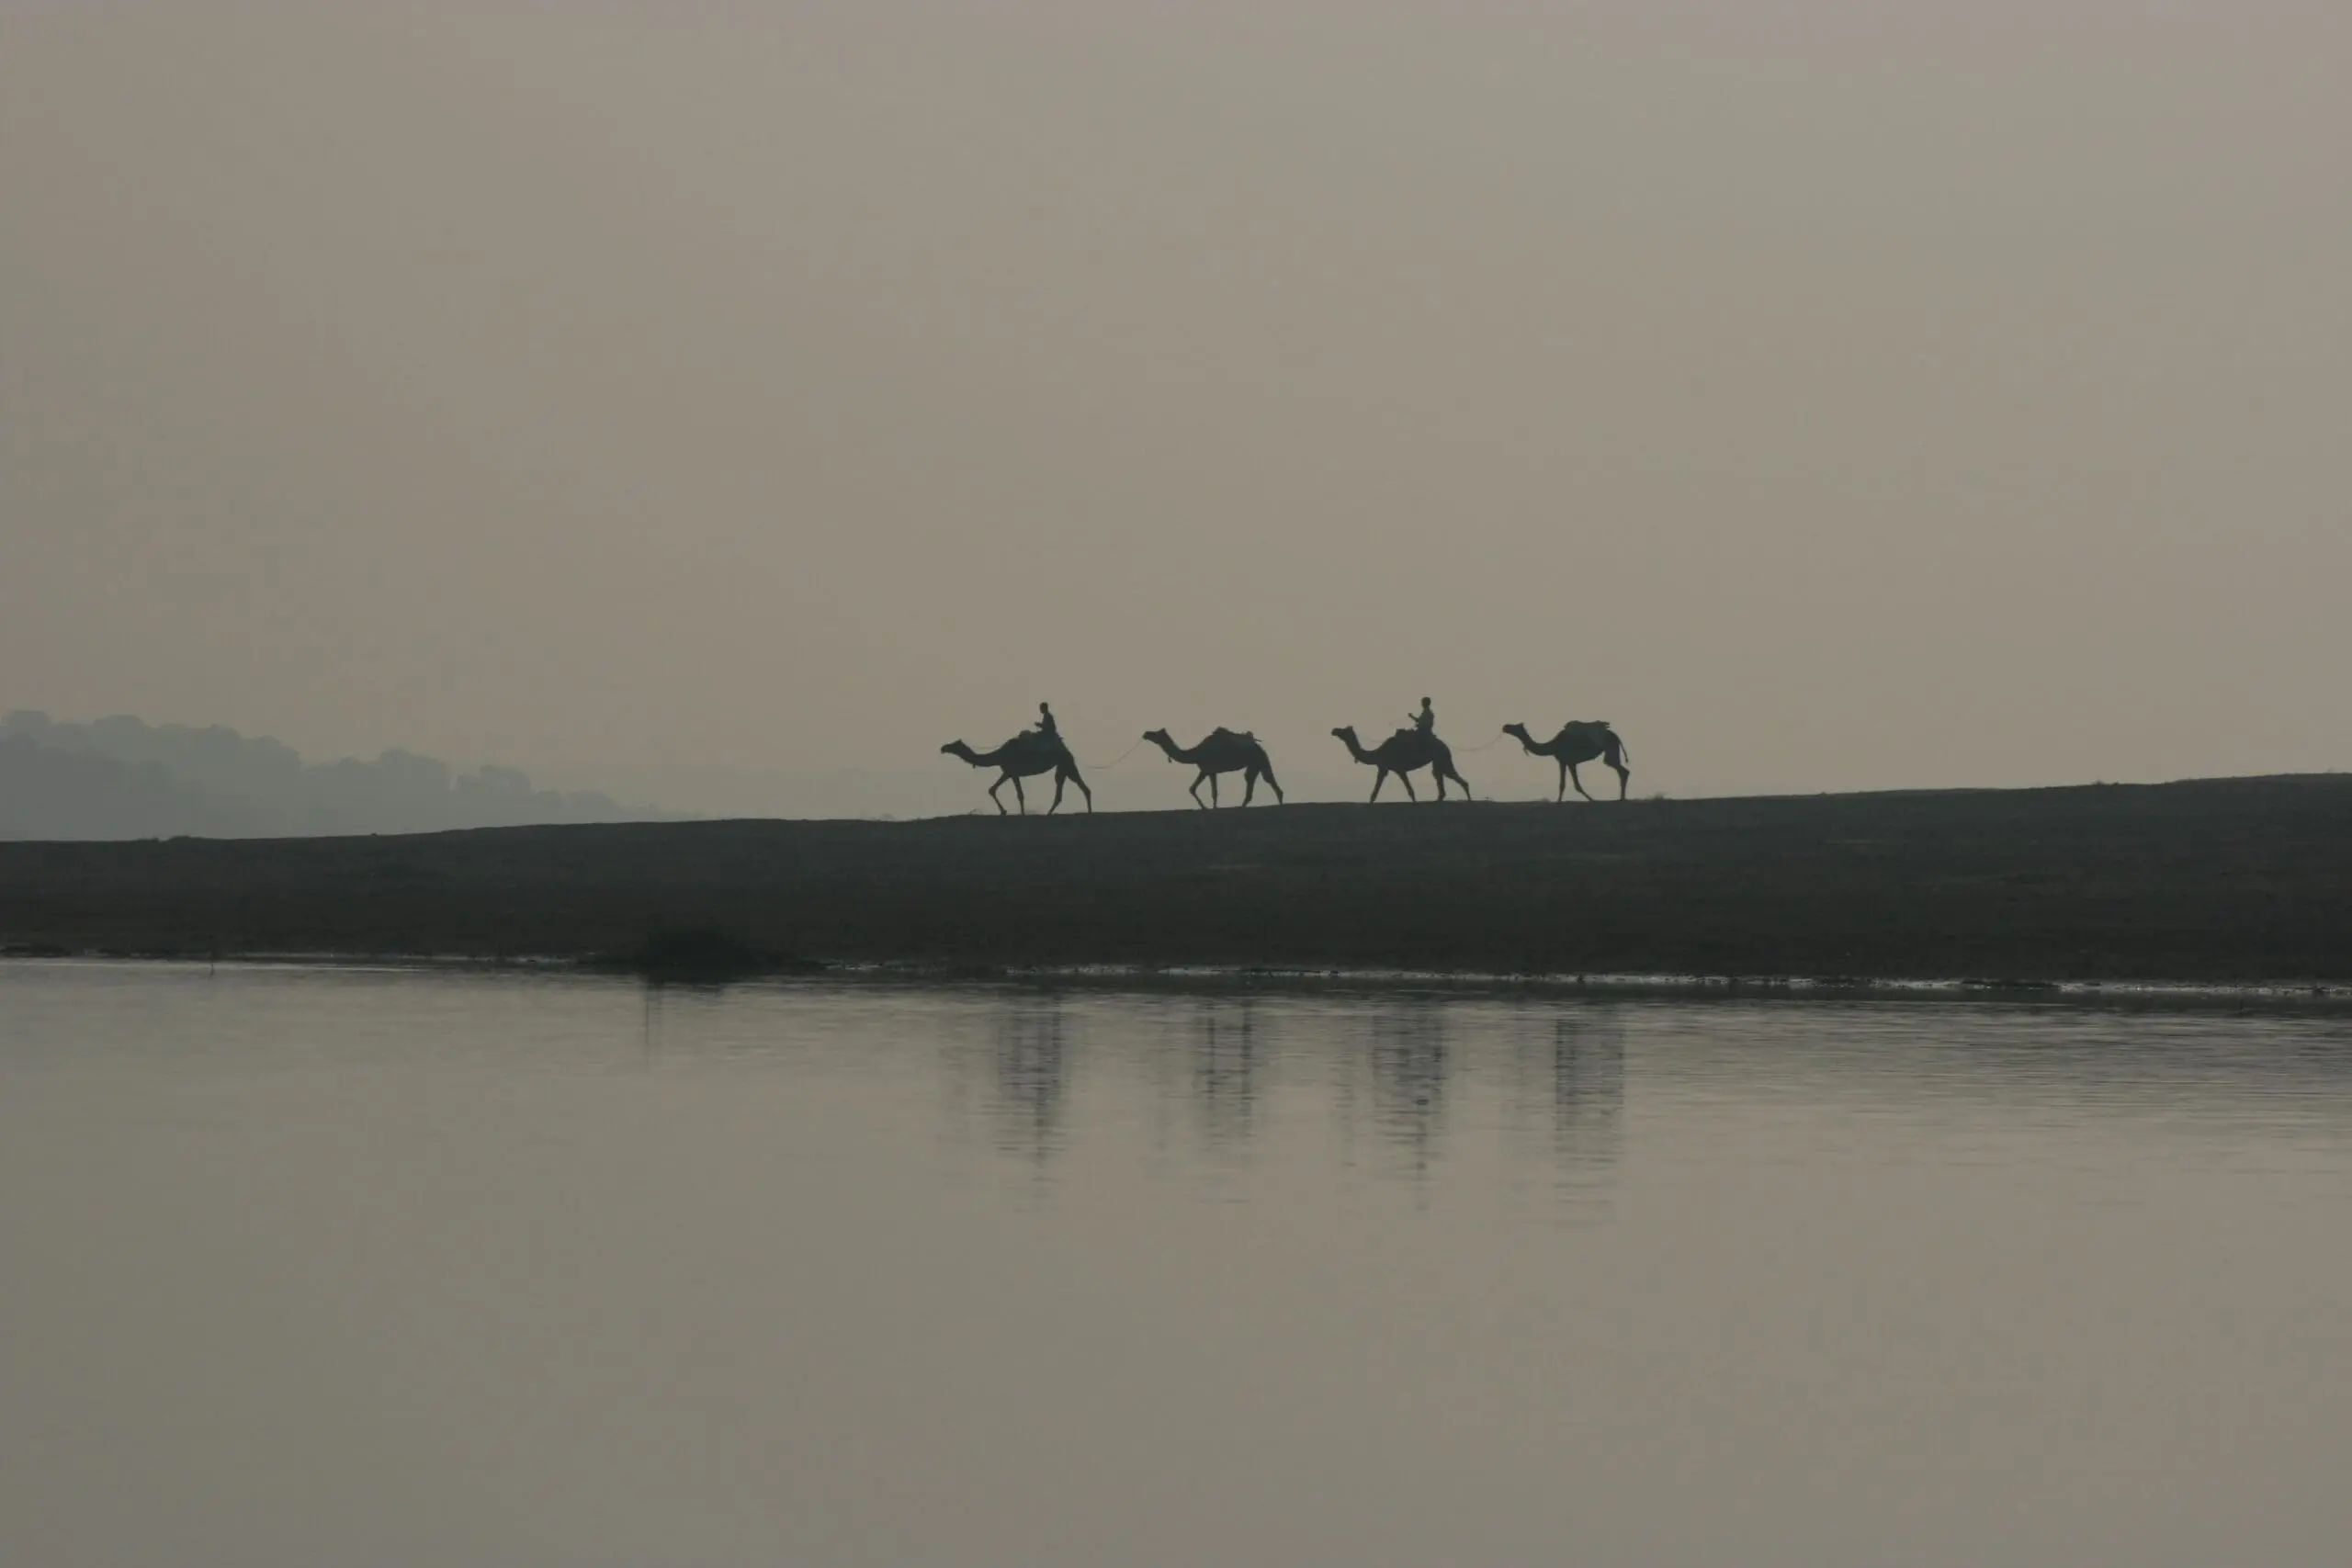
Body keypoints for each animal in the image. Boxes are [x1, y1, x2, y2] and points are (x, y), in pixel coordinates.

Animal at [940, 730, 1094, 815]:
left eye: (954, 744)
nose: (943, 748)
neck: (998, 755)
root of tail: (1065, 748)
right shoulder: (1008, 772)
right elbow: (992, 789)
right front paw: (1004, 812)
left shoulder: (1012, 772)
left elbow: (1020, 795)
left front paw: (1020, 813)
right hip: (1064, 766)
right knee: (1076, 787)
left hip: (1065, 762)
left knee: (1076, 787)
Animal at [1142, 727, 1284, 809]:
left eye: (1156, 734)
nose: (1146, 733)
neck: (1196, 753)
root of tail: (1259, 747)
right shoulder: (1205, 770)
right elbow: (1192, 788)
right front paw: (1205, 808)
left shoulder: (1210, 770)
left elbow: (1214, 793)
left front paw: (1211, 808)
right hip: (1256, 763)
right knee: (1260, 779)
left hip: (1257, 759)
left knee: (1263, 780)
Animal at [1330, 725, 1473, 803]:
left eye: (1343, 730)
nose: (1334, 730)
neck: (1377, 753)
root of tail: (1446, 746)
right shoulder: (1388, 768)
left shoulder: (1393, 768)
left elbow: (1408, 790)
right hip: (1440, 760)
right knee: (1442, 775)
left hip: (1441, 757)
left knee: (1448, 775)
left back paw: (1469, 800)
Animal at [1502, 721, 1632, 801]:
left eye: (1515, 726)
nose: (1505, 726)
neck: (1553, 745)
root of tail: (1615, 735)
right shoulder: (1568, 762)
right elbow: (1571, 785)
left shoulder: (1565, 761)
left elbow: (1567, 785)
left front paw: (1591, 800)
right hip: (1612, 749)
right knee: (1622, 771)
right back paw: (1622, 798)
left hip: (1609, 748)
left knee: (1621, 769)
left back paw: (1622, 798)